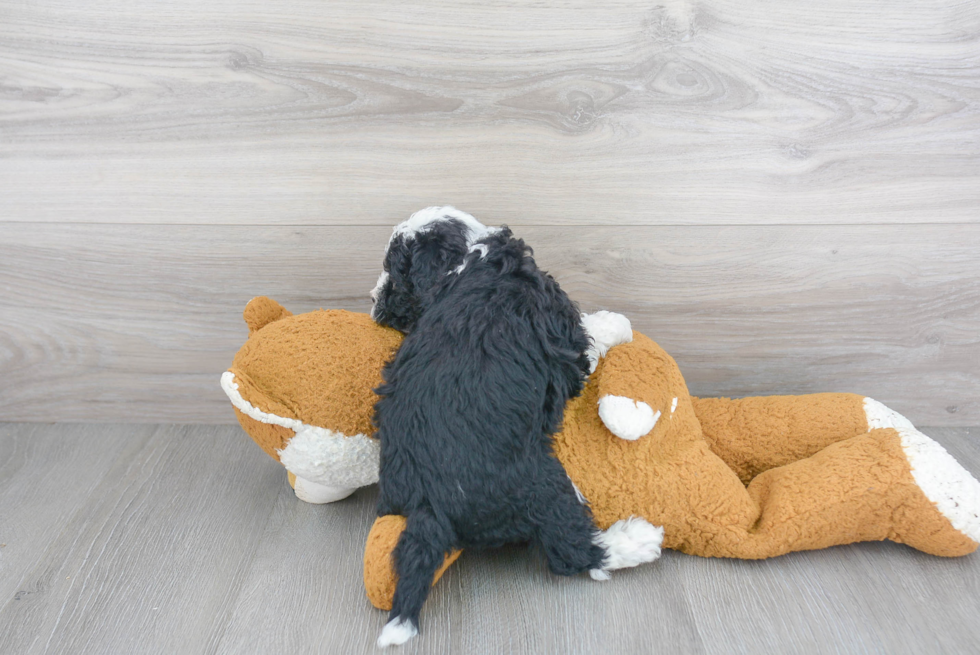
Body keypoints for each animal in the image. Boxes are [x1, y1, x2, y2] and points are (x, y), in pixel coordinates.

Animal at [372, 209, 664, 644]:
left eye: (393, 270)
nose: (375, 304)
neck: (470, 259)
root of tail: (429, 504)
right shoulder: (566, 340)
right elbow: (592, 335)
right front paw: (617, 323)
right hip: (544, 485)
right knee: (572, 548)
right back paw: (638, 540)